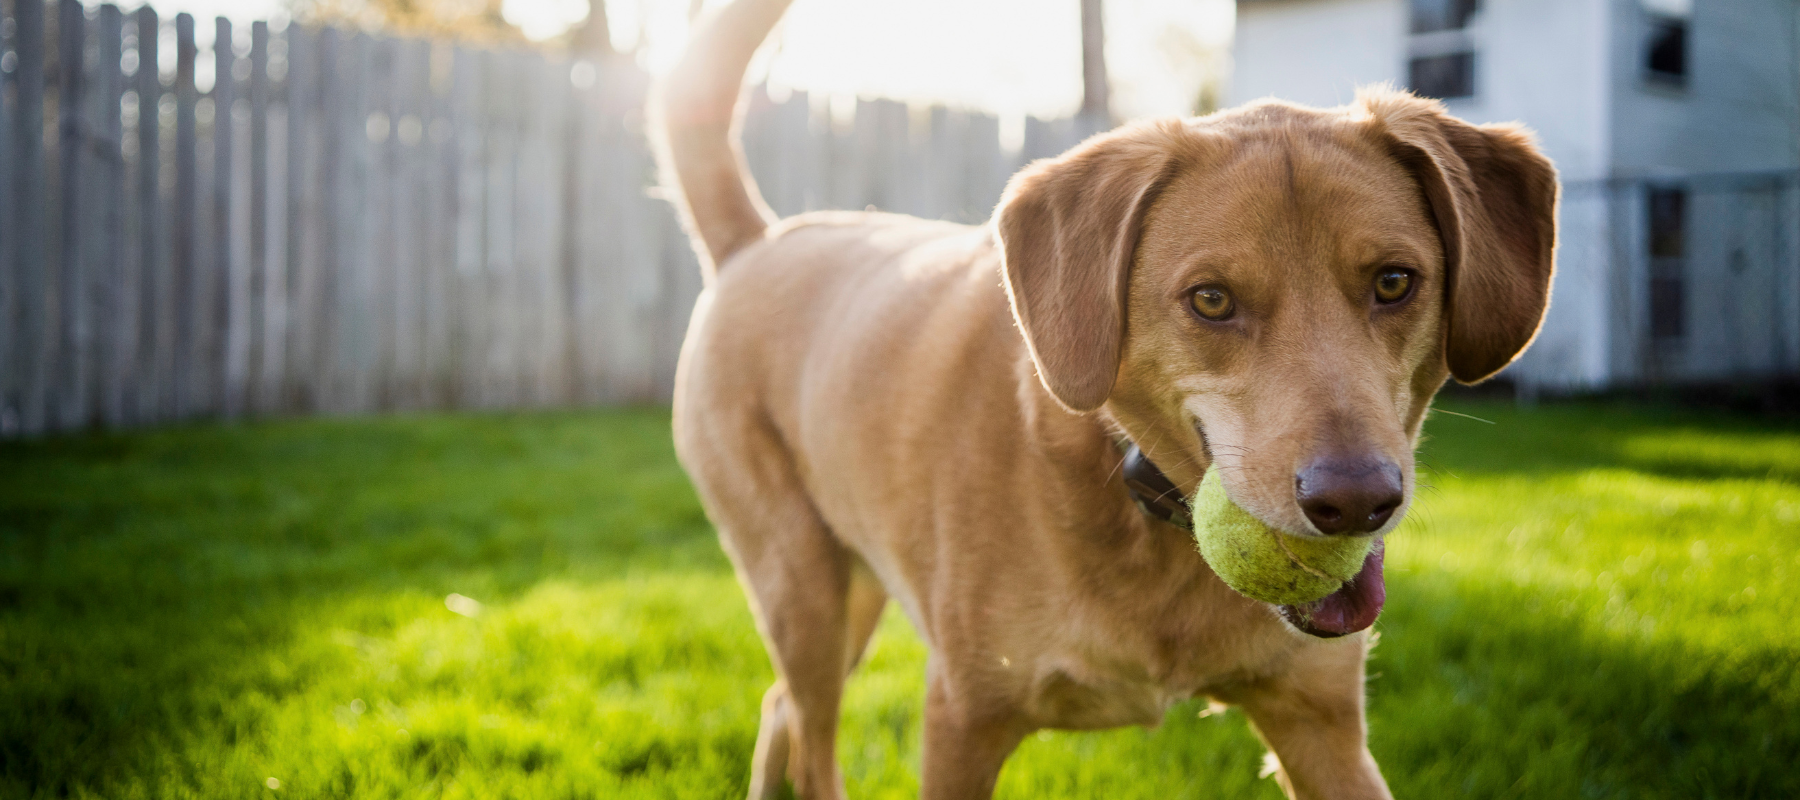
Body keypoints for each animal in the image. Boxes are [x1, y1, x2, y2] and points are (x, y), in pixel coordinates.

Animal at [651, 3, 1562, 796]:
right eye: (1211, 300)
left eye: (1395, 282)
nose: (1357, 503)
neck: (1147, 507)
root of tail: (756, 241)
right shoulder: (961, 720)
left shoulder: (1321, 728)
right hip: (799, 587)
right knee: (810, 731)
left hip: (852, 592)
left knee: (781, 706)